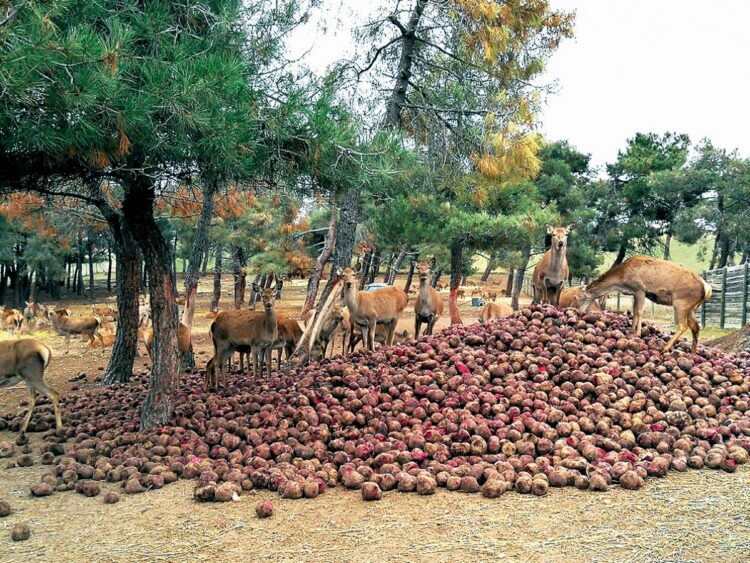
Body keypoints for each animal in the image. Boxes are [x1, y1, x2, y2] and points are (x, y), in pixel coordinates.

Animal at [578, 256, 713, 354]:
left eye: (579, 297)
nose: (579, 311)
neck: (621, 280)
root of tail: (707, 289)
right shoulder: (634, 292)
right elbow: (634, 310)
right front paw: (631, 331)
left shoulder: (640, 289)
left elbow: (639, 311)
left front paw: (638, 333)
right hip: (692, 308)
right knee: (695, 327)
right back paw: (693, 354)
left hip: (681, 303)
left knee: (683, 326)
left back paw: (665, 348)